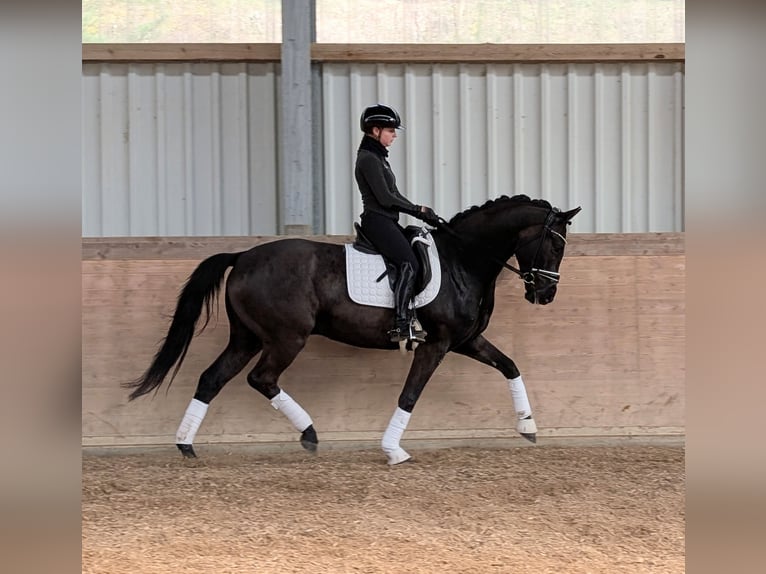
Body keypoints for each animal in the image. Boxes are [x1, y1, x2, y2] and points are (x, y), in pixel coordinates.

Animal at [124, 194, 581, 465]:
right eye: (554, 244)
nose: (546, 294)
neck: (462, 261)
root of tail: (243, 257)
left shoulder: (465, 340)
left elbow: (511, 366)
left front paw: (528, 427)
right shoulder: (436, 344)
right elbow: (410, 394)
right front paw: (393, 450)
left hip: (247, 337)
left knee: (211, 379)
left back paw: (186, 445)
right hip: (287, 338)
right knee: (261, 378)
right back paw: (309, 434)